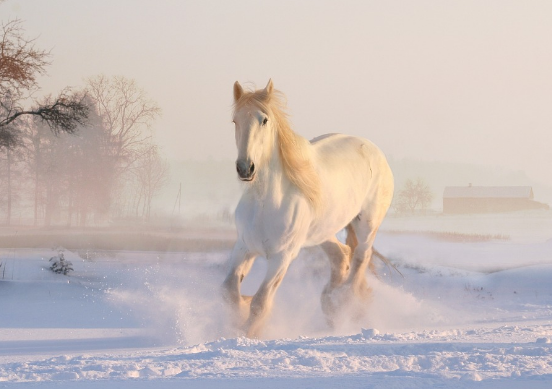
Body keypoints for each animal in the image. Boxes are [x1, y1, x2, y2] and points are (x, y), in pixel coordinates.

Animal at [222, 79, 394, 336]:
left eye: (264, 120)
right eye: (235, 120)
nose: (245, 168)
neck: (265, 203)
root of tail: (374, 150)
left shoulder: (282, 257)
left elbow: (260, 303)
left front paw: (248, 333)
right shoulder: (244, 247)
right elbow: (230, 292)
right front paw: (239, 316)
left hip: (367, 224)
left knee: (360, 258)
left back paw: (344, 303)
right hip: (322, 232)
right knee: (341, 255)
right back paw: (330, 305)